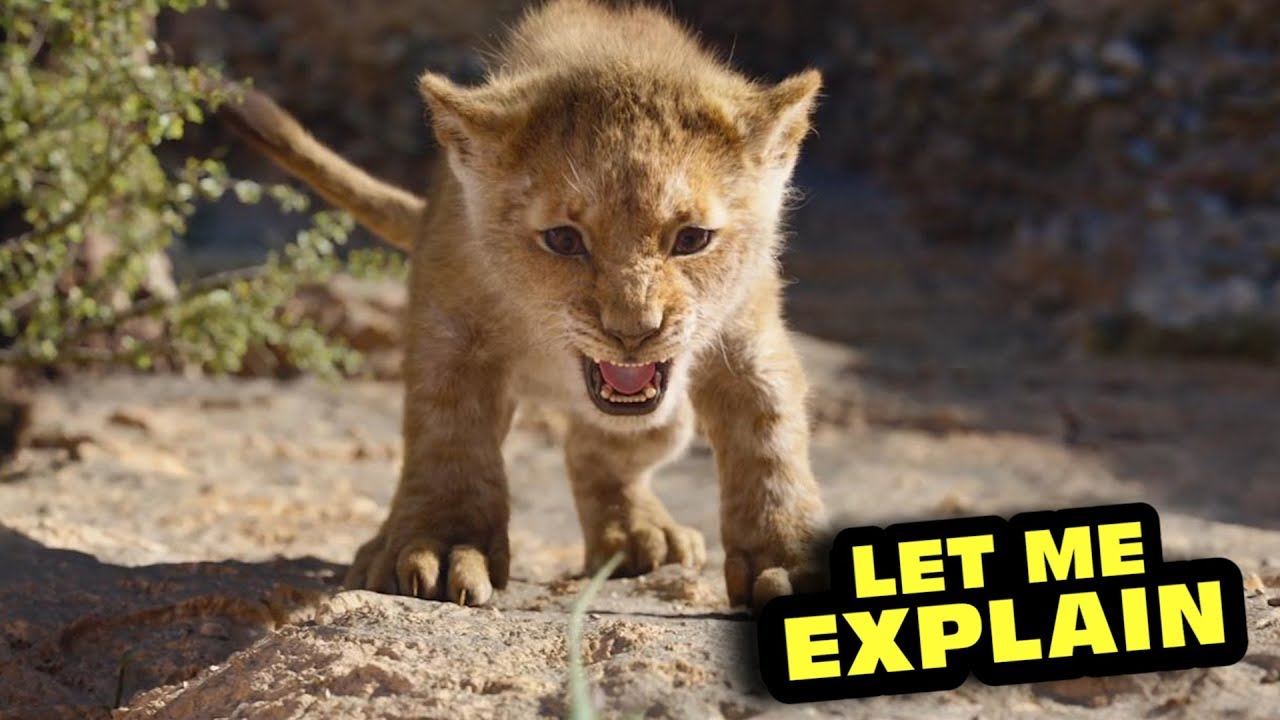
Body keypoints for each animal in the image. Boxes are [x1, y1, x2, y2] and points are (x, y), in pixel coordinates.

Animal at [219, 0, 827, 610]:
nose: (633, 331)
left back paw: (638, 533)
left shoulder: (748, 337)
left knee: (602, 447)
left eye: (692, 238)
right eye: (563, 240)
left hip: (666, 418)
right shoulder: (452, 331)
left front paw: (787, 557)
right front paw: (440, 546)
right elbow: (449, 437)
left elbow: (769, 438)